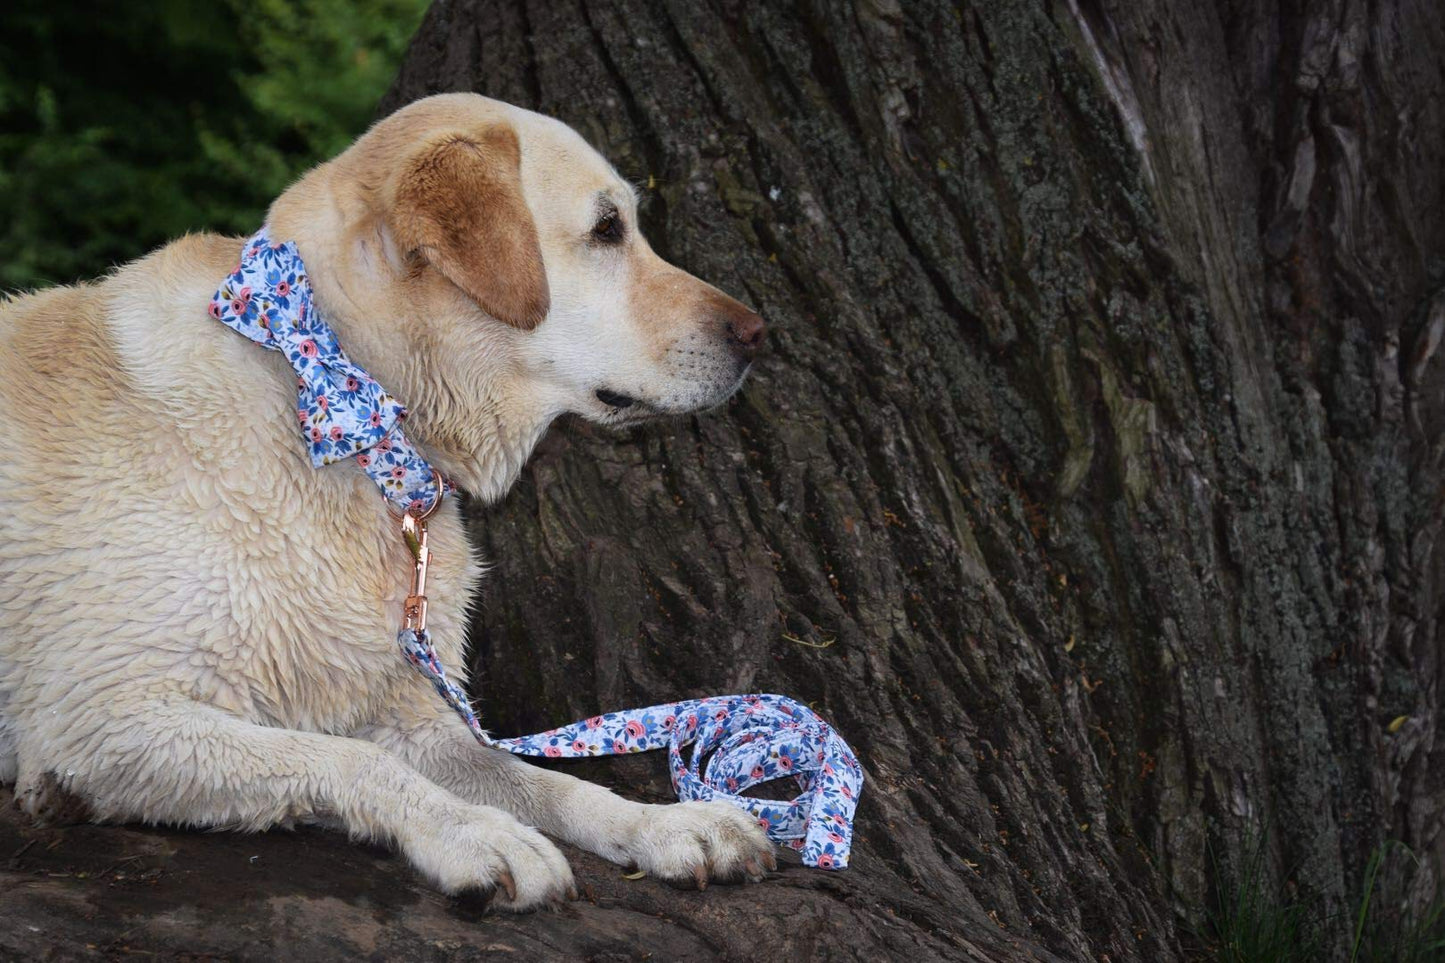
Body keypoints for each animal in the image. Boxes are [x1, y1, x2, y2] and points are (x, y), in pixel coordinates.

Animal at [0, 91, 780, 908]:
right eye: (606, 229)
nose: (759, 333)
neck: (331, 391)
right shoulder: (101, 717)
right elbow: (351, 760)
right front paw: (475, 833)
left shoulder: (412, 713)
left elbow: (545, 780)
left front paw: (669, 824)